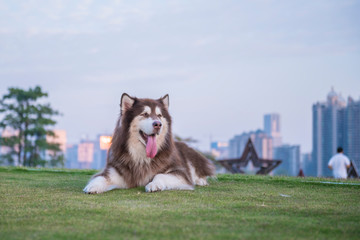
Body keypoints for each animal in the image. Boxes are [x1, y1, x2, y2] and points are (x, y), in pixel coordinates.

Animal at [83, 93, 215, 194]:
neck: (142, 158)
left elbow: (160, 175)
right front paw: (93, 186)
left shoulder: (180, 172)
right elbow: (101, 178)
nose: (158, 124)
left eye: (159, 115)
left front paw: (154, 184)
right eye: (144, 114)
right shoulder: (114, 171)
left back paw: (201, 181)